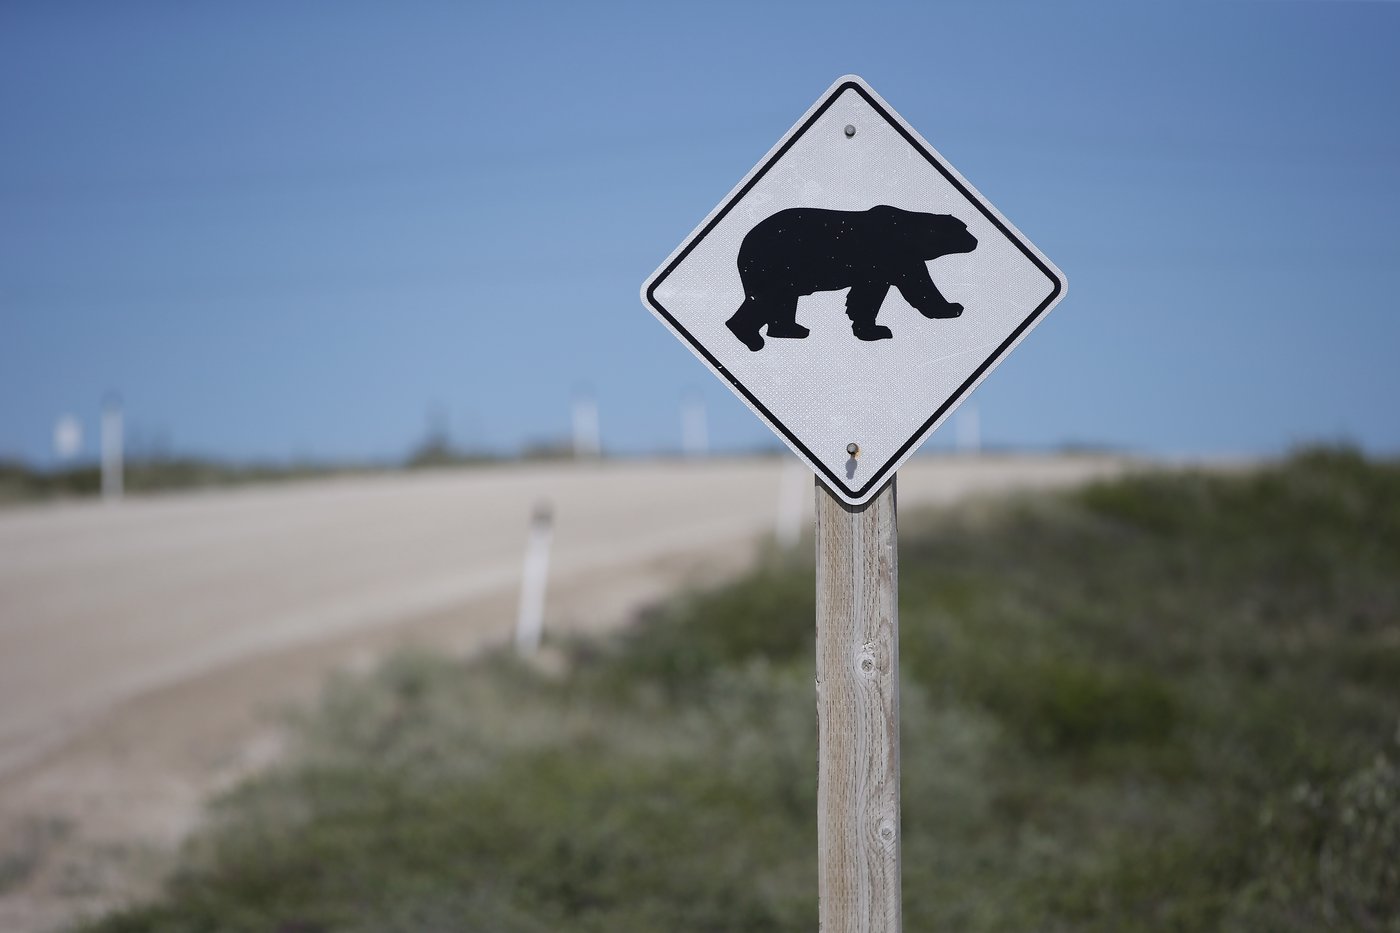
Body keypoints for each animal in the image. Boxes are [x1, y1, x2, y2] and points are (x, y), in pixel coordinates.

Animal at [724, 205, 977, 352]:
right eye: (962, 229)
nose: (975, 240)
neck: (909, 232)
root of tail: (743, 243)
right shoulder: (891, 255)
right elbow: (915, 285)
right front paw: (953, 307)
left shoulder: (887, 264)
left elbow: (867, 292)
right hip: (775, 264)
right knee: (767, 299)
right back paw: (750, 337)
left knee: (783, 300)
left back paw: (792, 329)